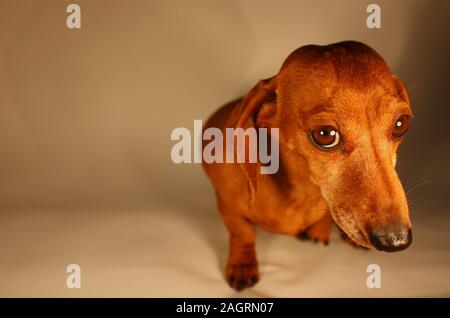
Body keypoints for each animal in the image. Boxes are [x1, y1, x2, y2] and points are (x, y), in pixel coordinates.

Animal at [202, 41, 414, 292]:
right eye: (325, 134)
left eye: (401, 124)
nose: (395, 240)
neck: (301, 196)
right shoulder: (227, 205)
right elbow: (242, 232)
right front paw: (242, 265)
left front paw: (320, 231)